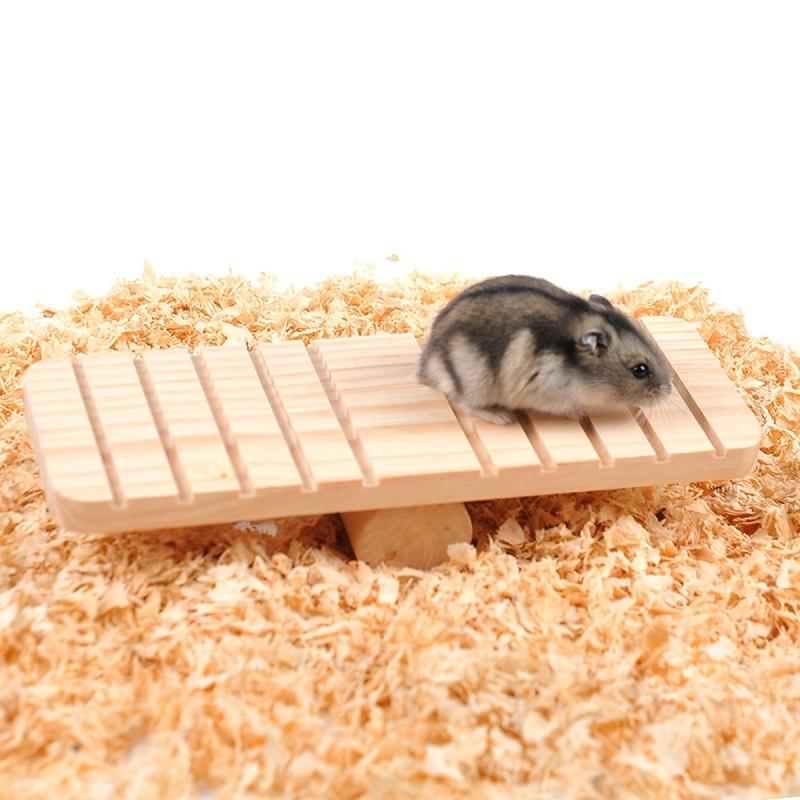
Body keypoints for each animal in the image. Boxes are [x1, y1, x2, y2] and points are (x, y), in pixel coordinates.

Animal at [416, 275, 672, 424]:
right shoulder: (549, 393)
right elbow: (569, 408)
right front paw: (582, 414)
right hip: (473, 381)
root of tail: (427, 366)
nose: (668, 392)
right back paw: (501, 417)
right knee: (462, 401)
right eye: (640, 370)